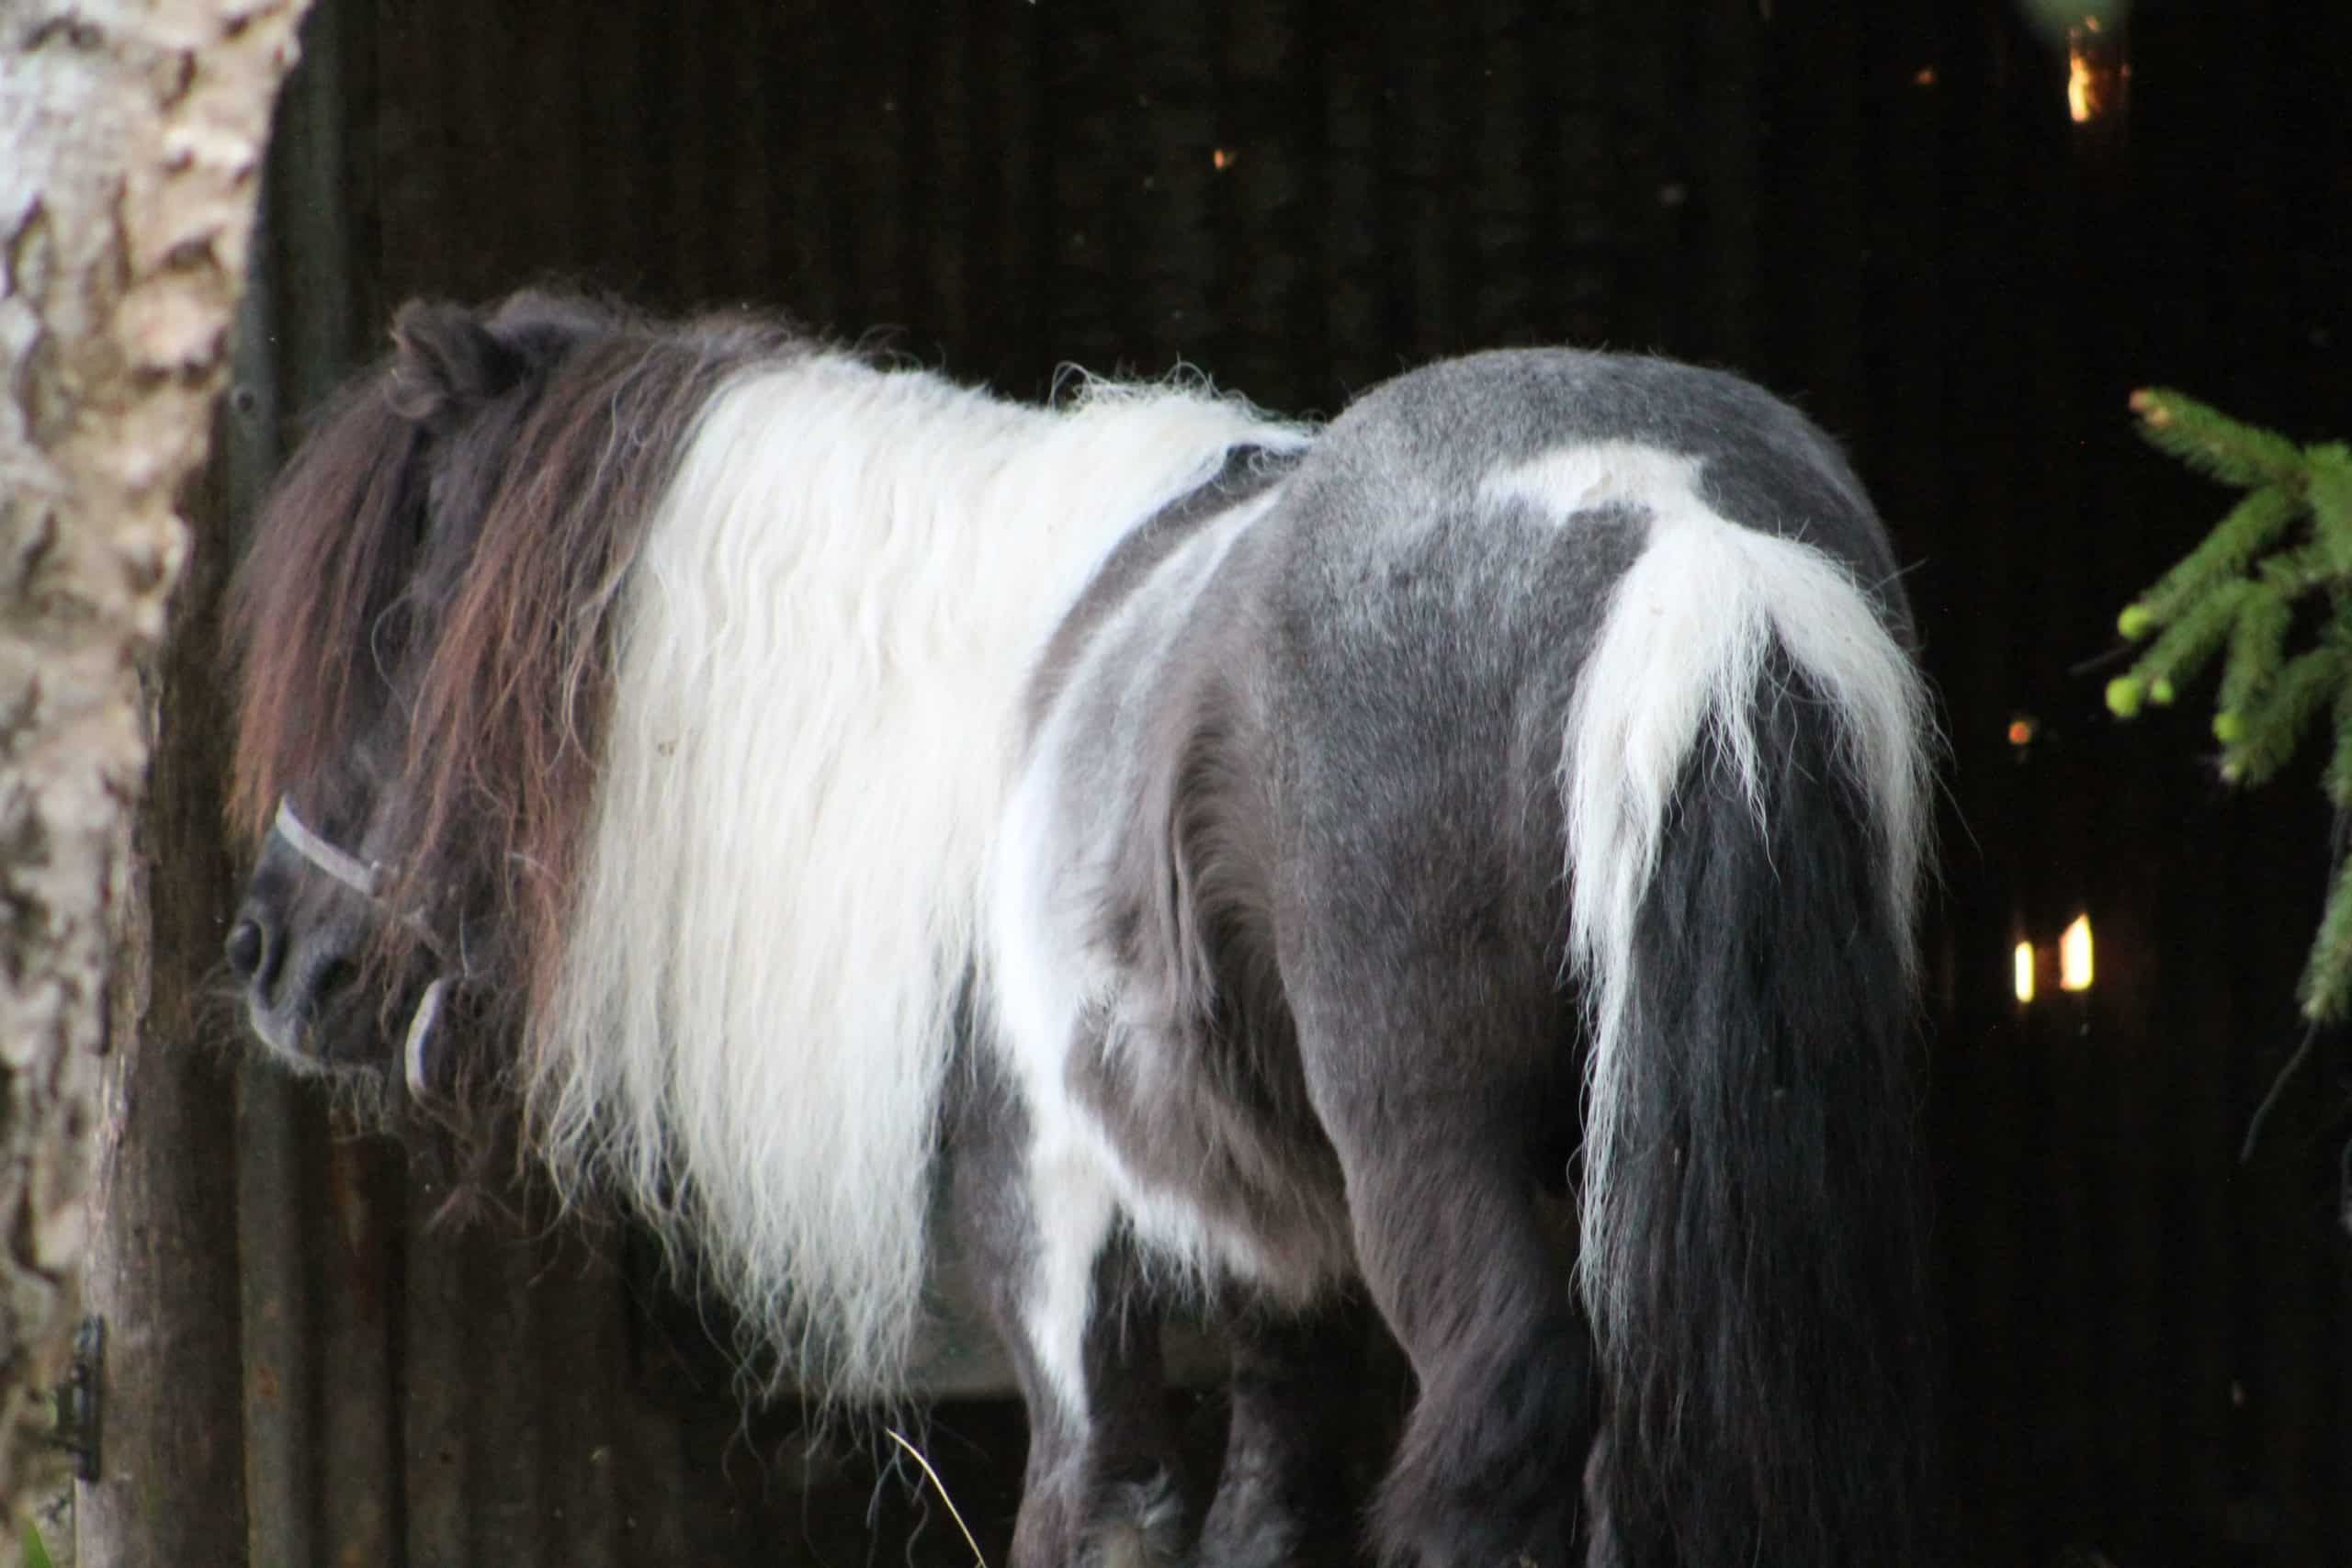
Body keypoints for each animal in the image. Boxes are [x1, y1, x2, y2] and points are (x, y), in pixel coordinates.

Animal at [224, 288, 1937, 1568]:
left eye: (398, 626)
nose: (270, 956)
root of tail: (1677, 534)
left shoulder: (1066, 1291)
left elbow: (1103, 1511)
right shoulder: (1281, 1286)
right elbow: (1265, 1519)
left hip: (1434, 1162)